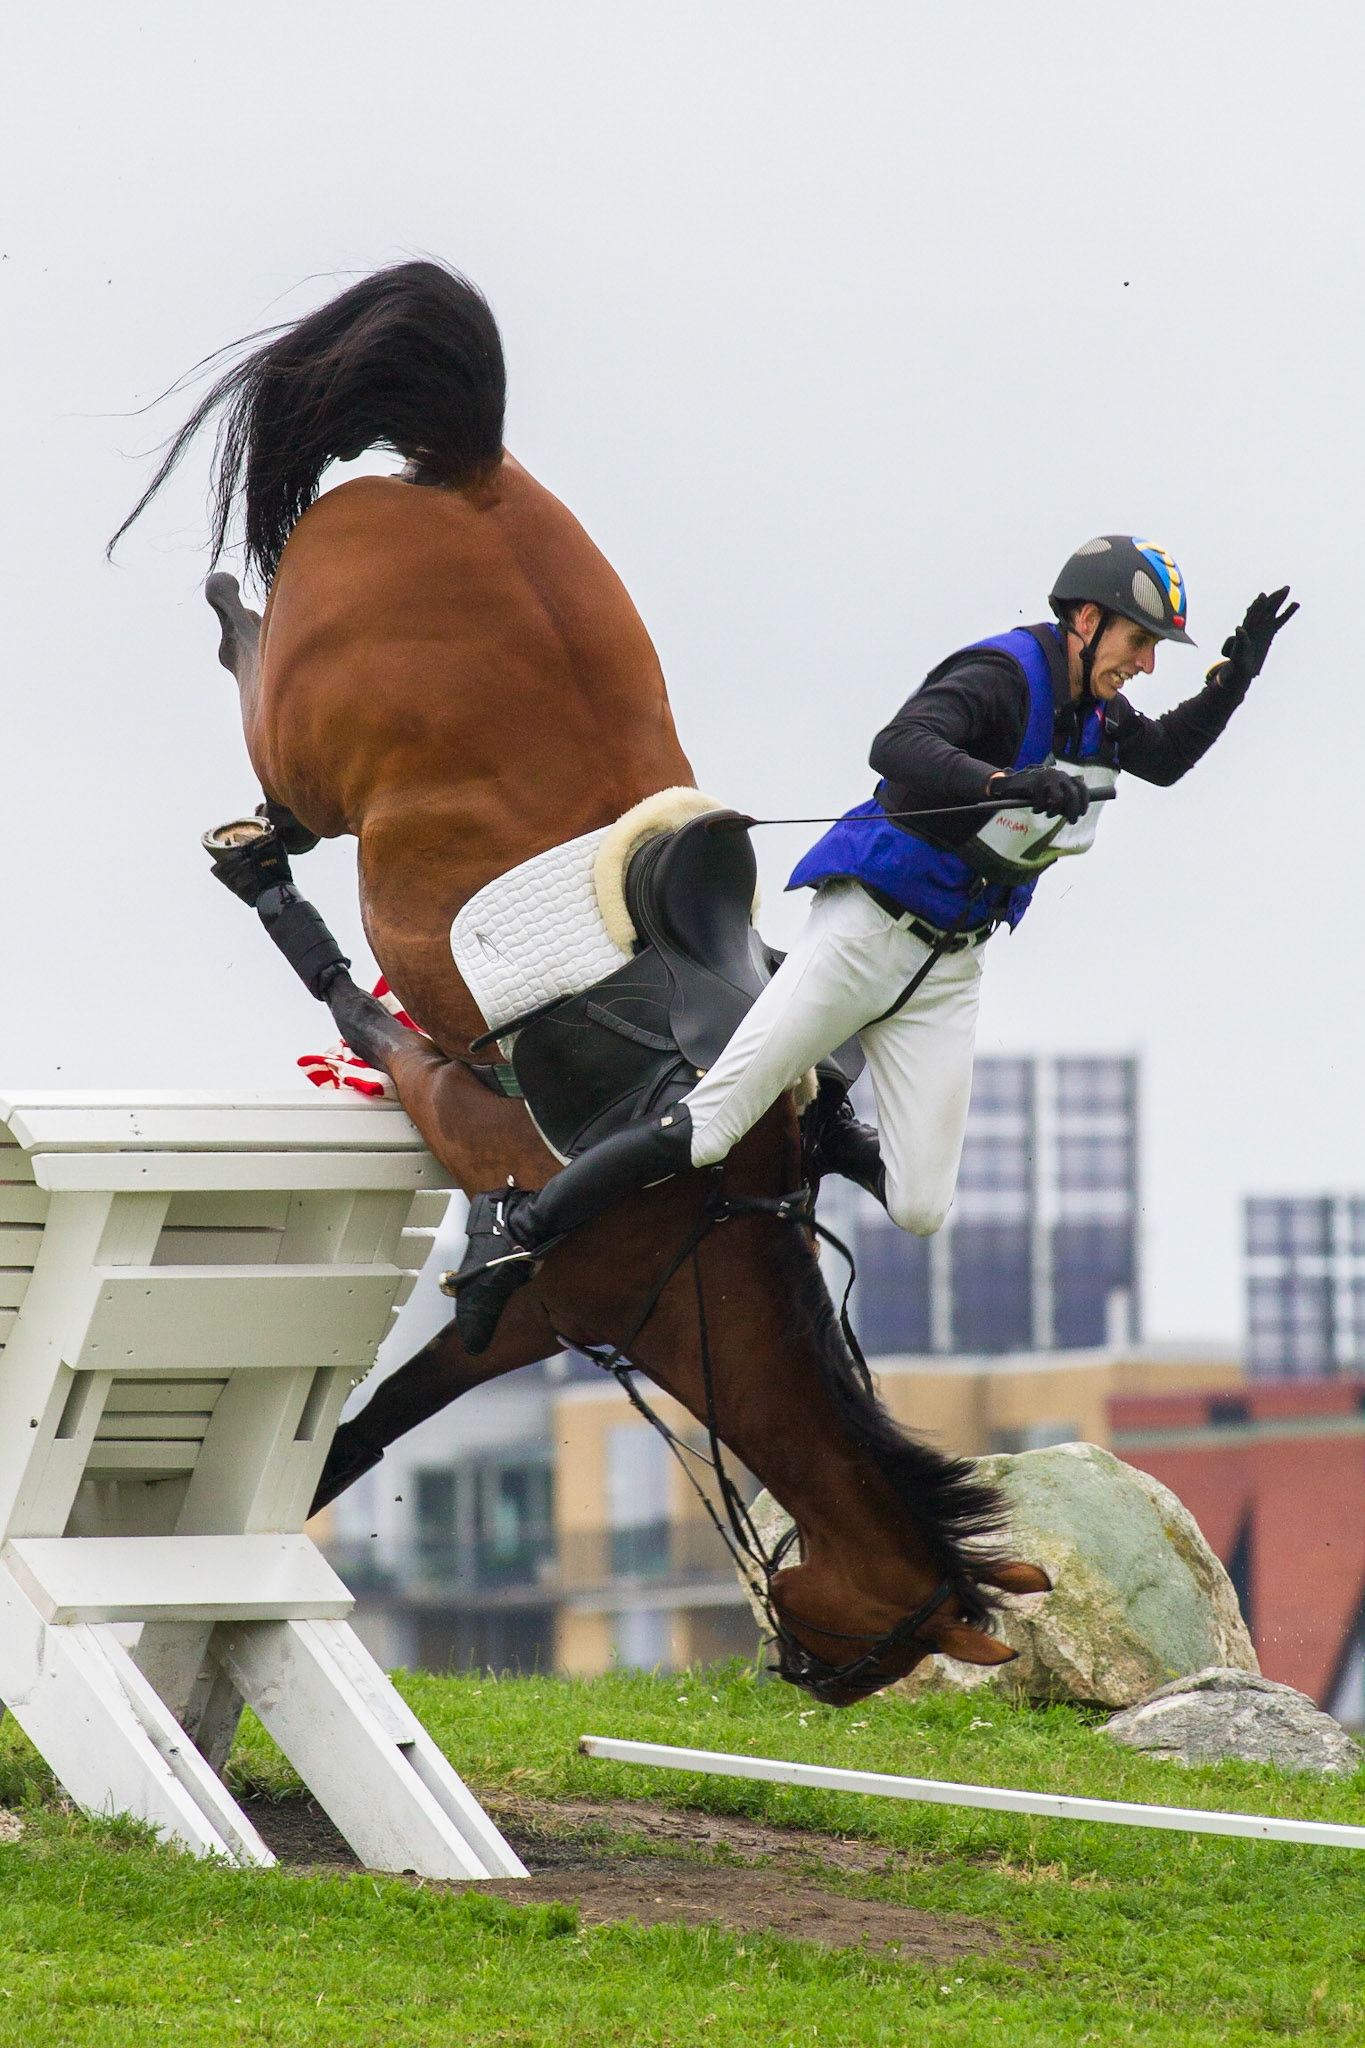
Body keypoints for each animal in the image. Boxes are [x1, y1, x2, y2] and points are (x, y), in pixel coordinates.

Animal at [114, 260, 1050, 1702]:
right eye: (885, 1647)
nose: (801, 1674)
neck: (701, 1231)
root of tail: (472, 466)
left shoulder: (539, 1319)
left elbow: (369, 1435)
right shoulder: (461, 1118)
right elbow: (352, 1007)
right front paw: (271, 903)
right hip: (311, 730)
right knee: (247, 646)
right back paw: (245, 766)